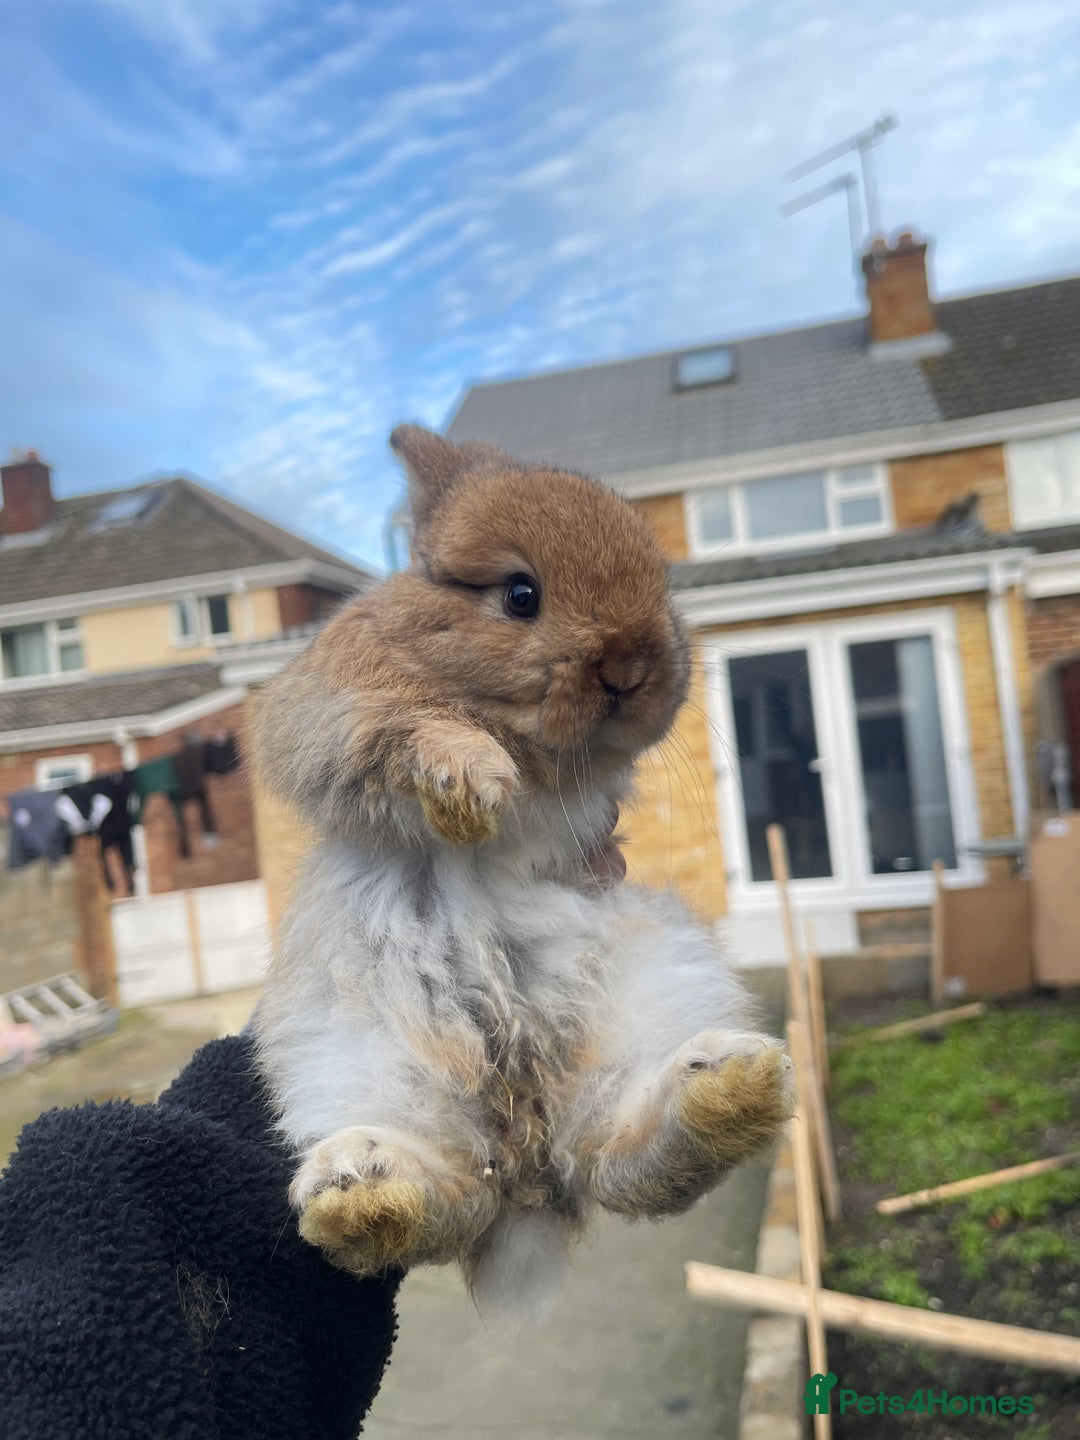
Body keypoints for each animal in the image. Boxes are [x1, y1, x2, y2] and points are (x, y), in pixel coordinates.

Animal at [250, 424, 793, 1314]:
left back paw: (732, 1086)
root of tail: (529, 1172)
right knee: (443, 1198)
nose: (632, 668)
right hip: (348, 1053)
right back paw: (364, 1189)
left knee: (622, 1157)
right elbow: (409, 733)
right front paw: (472, 786)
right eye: (520, 595)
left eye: (659, 579)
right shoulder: (334, 716)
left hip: (661, 975)